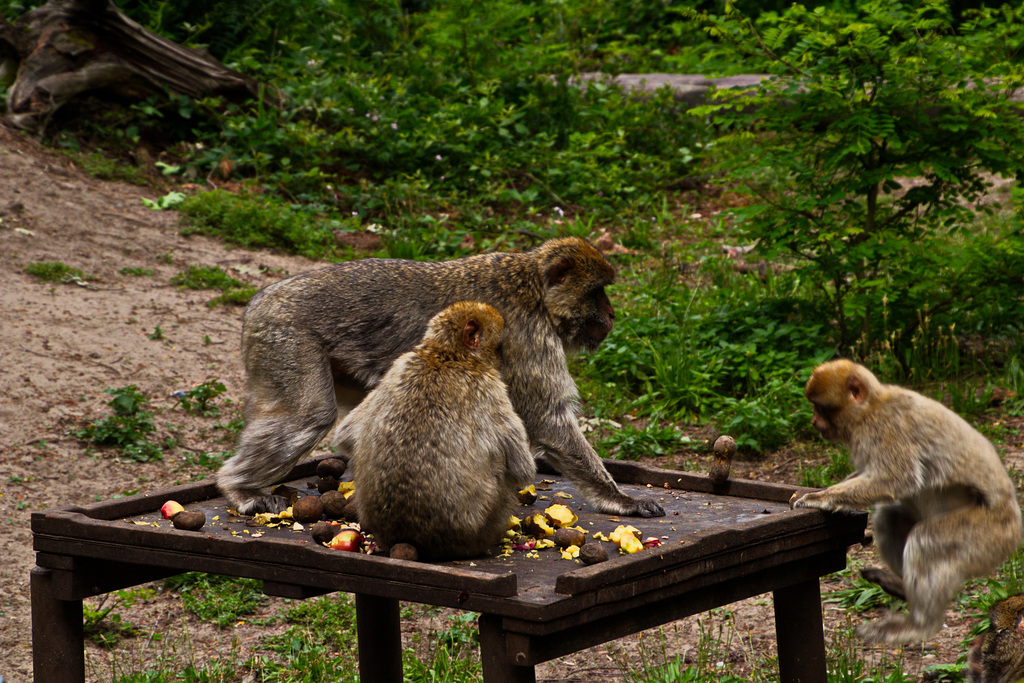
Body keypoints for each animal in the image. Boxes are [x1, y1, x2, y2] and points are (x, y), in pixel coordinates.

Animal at [216, 235, 663, 518]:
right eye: (596, 293)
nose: (612, 314)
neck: (533, 288)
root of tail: (258, 302)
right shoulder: (529, 337)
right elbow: (548, 421)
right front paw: (619, 498)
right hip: (286, 339)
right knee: (310, 414)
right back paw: (239, 488)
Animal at [337, 301, 536, 557]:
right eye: (499, 348)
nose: (502, 363)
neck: (445, 354)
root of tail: (409, 536)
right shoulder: (489, 386)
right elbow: (522, 469)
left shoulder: (400, 363)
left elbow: (346, 434)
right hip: (478, 530)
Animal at [794, 360, 1019, 643]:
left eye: (821, 408)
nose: (814, 421)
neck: (869, 410)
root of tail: (1015, 525)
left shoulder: (888, 426)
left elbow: (896, 479)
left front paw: (818, 498)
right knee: (887, 518)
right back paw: (900, 586)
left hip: (989, 533)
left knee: (926, 539)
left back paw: (920, 624)